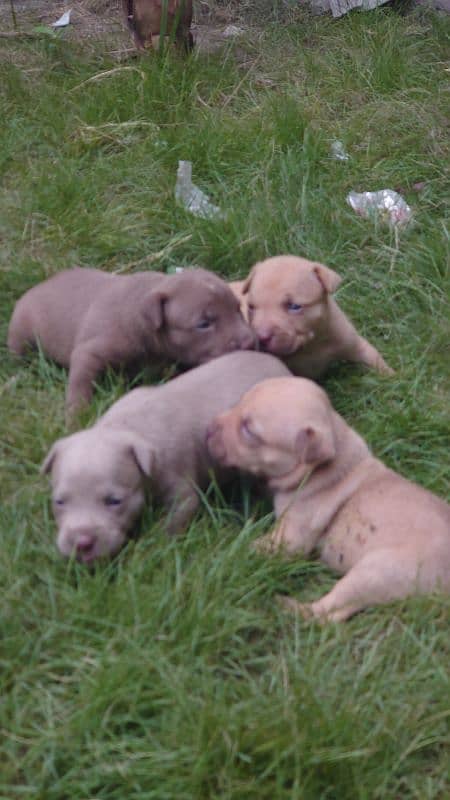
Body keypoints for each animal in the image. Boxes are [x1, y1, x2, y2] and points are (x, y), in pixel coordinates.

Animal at [7, 268, 253, 418]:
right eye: (203, 324)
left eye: (237, 309)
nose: (250, 341)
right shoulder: (89, 352)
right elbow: (79, 384)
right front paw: (77, 416)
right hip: (21, 331)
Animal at [40, 350, 290, 564]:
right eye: (59, 502)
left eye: (114, 501)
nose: (82, 544)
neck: (127, 427)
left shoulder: (177, 483)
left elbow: (172, 521)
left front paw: (149, 551)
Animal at [208, 378, 450, 620]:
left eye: (249, 431)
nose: (209, 429)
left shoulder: (289, 539)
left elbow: (252, 547)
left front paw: (226, 549)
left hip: (378, 571)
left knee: (329, 614)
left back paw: (286, 607)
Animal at [241, 258, 392, 380]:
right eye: (251, 307)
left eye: (294, 306)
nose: (261, 337)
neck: (311, 346)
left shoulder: (354, 343)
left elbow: (375, 359)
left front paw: (392, 378)